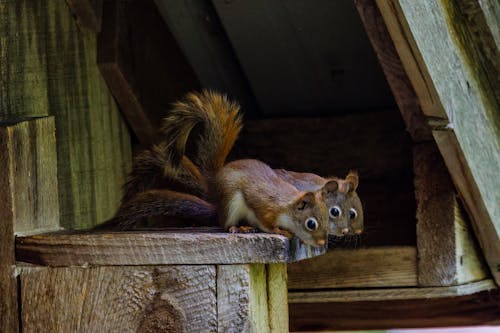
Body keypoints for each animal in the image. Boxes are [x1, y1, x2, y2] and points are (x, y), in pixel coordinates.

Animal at [97, 91, 332, 246]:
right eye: (311, 224)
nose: (322, 243)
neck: (287, 205)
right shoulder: (264, 205)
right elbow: (265, 220)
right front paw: (278, 230)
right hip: (230, 203)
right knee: (225, 223)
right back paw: (238, 227)